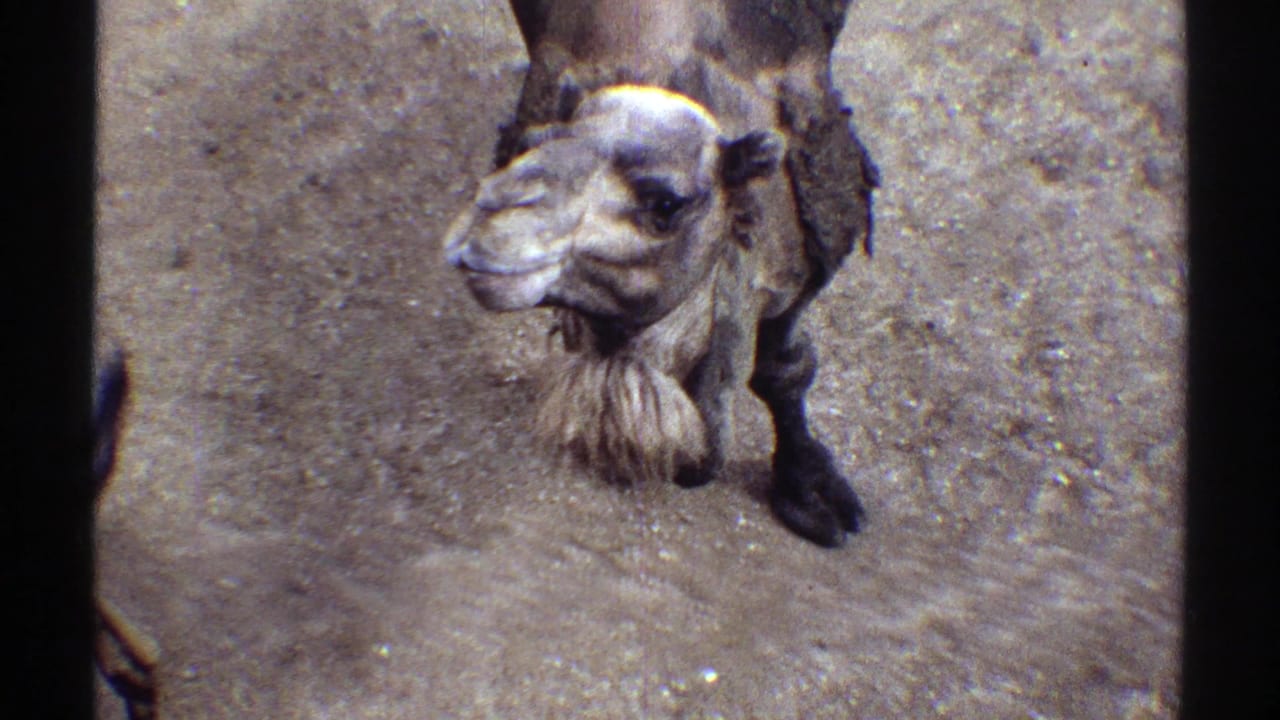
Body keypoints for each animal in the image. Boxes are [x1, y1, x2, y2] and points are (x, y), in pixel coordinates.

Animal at [444, 0, 879, 547]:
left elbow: (784, 368)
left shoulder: (806, 267)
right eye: (527, 147)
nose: (486, 229)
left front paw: (811, 490)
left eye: (666, 203)